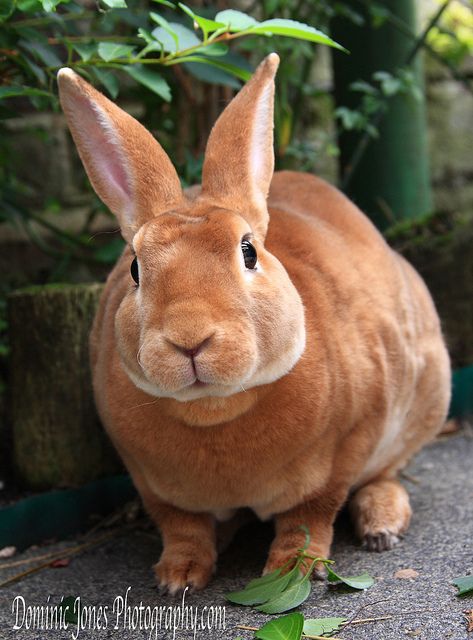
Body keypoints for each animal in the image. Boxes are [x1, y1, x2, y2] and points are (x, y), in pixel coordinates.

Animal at [56, 53, 450, 596]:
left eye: (248, 252)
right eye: (135, 269)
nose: (189, 339)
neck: (216, 410)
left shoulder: (348, 445)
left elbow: (311, 515)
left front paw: (291, 570)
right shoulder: (152, 485)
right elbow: (182, 526)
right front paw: (177, 578)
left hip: (424, 401)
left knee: (384, 475)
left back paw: (381, 525)